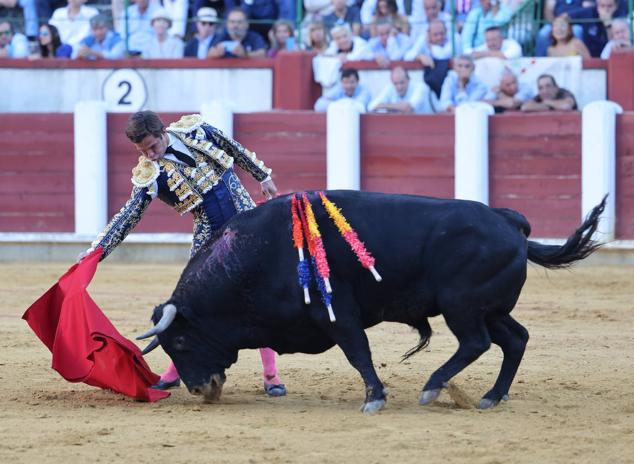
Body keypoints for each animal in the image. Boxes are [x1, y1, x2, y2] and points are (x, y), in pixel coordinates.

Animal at [141, 192, 604, 414]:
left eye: (179, 342)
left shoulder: (337, 315)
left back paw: (433, 387)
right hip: (491, 309)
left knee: (477, 343)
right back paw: (492, 396)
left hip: (462, 306)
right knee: (515, 339)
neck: (255, 255)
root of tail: (510, 221)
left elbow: (358, 354)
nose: (201, 389)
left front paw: (375, 398)